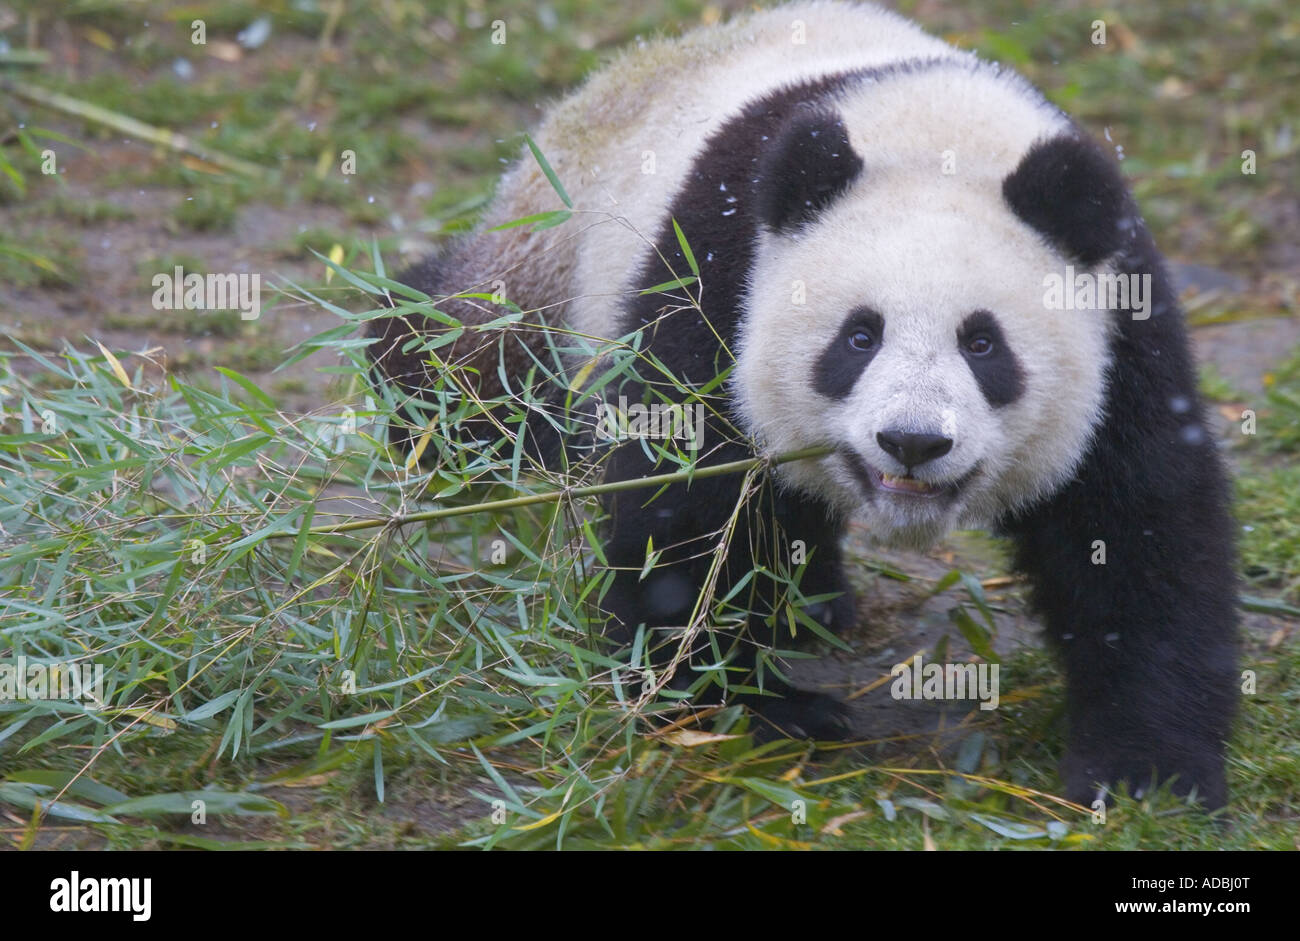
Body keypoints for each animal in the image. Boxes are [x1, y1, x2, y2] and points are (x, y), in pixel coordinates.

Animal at [369, 0, 1237, 811]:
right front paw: (742, 704)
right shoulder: (721, 269)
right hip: (548, 262)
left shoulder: (1123, 316)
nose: (913, 442)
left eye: (984, 344)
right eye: (859, 336)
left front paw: (1146, 771)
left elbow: (1136, 526)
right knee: (461, 359)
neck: (938, 134)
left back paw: (814, 599)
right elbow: (690, 499)